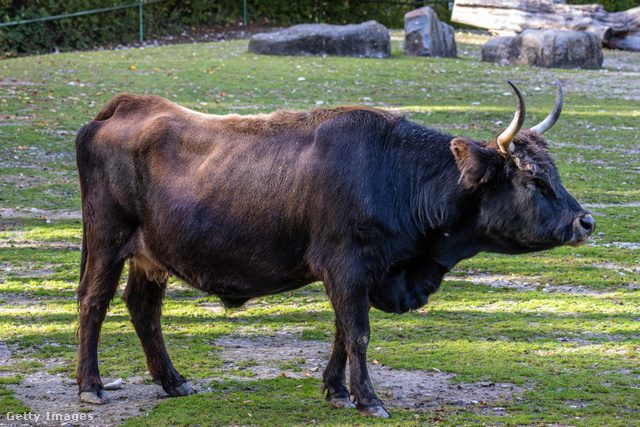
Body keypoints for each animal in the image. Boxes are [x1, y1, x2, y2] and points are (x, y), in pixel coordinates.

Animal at [75, 80, 596, 418]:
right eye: (534, 179)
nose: (585, 221)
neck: (392, 175)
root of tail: (125, 106)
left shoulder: (360, 274)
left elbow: (343, 334)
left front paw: (335, 390)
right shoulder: (345, 265)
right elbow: (358, 334)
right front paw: (369, 399)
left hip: (151, 256)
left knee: (143, 308)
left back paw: (173, 381)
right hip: (106, 240)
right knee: (93, 303)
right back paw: (91, 387)